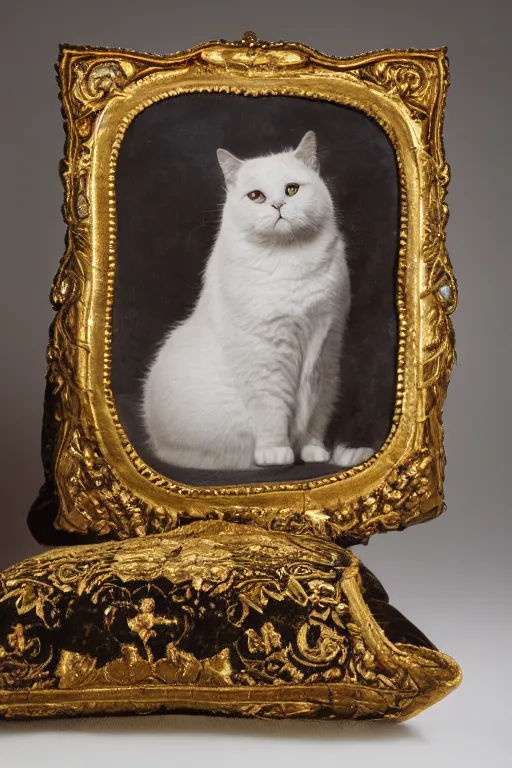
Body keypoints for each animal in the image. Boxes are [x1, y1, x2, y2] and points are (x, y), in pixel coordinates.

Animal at [142, 131, 374, 468]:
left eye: (291, 189)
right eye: (256, 196)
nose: (277, 204)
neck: (289, 258)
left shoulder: (324, 350)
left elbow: (314, 415)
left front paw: (312, 452)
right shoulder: (266, 357)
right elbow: (273, 413)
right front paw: (276, 454)